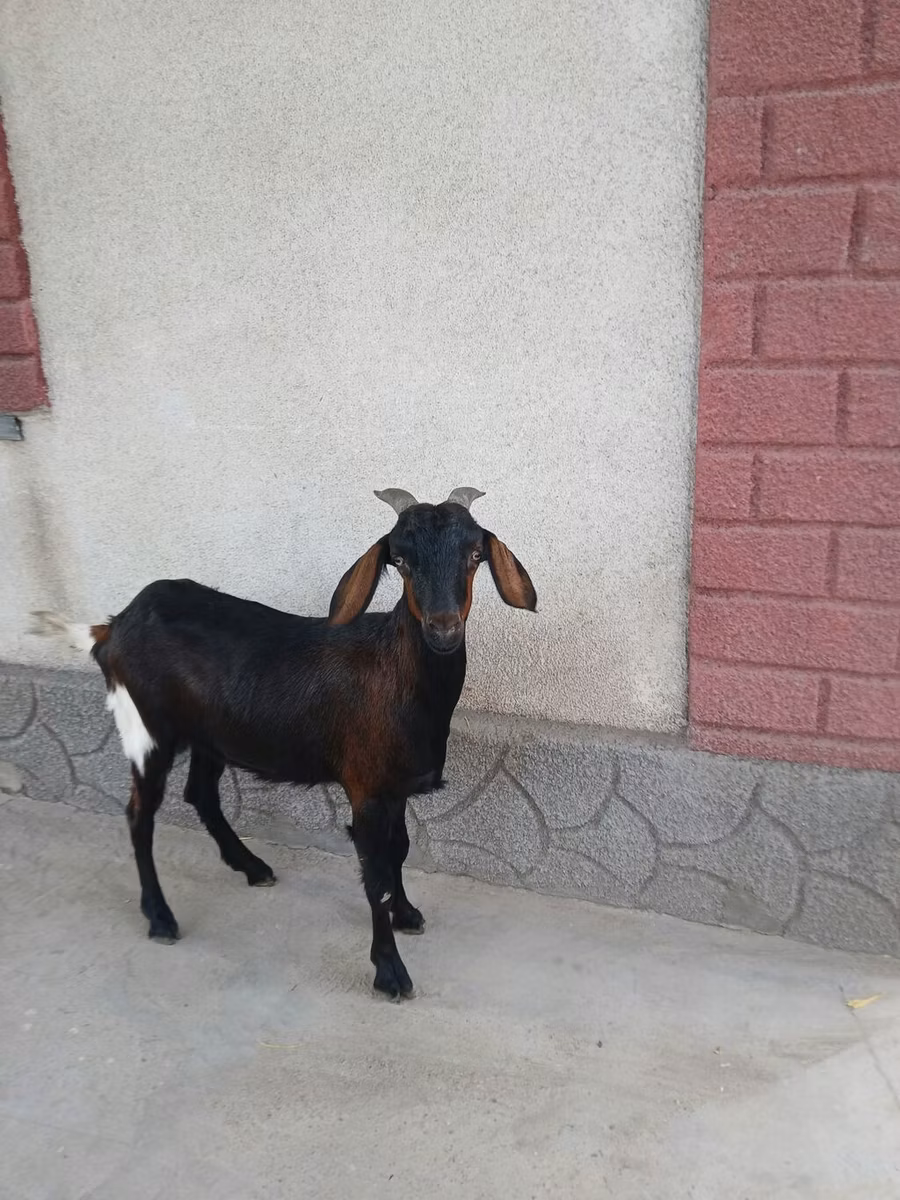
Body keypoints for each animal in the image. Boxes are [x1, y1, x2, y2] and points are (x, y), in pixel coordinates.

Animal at [32, 488, 536, 999]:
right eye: (400, 560)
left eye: (475, 555)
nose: (443, 627)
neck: (399, 675)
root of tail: (111, 627)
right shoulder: (366, 787)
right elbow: (376, 874)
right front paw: (390, 971)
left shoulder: (392, 788)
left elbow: (400, 848)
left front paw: (407, 914)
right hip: (146, 729)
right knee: (140, 814)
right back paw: (160, 917)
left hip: (211, 736)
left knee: (200, 794)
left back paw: (252, 868)